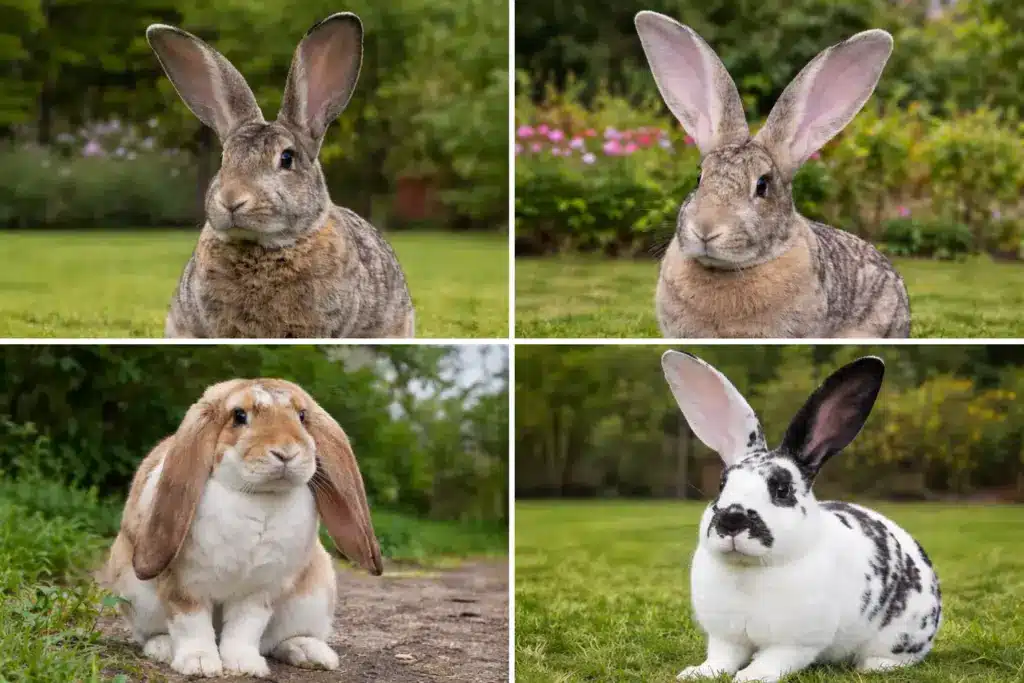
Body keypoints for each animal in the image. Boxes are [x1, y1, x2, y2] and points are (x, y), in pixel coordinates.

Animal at [97, 379, 383, 678]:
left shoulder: (259, 591)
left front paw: (245, 665)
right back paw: (163, 648)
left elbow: (245, 628)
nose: (286, 452)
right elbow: (191, 625)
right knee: (151, 634)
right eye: (239, 416)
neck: (259, 496)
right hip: (136, 597)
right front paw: (200, 664)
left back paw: (312, 653)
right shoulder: (183, 586)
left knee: (277, 641)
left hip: (314, 597)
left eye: (302, 416)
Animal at [661, 351, 941, 682]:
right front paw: (697, 673)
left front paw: (751, 676)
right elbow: (722, 658)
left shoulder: (796, 644)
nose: (732, 520)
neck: (751, 569)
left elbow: (773, 660)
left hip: (901, 636)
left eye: (782, 489)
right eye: (721, 485)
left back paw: (874, 665)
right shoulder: (725, 637)